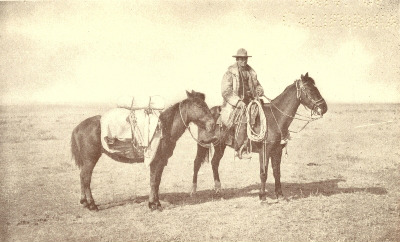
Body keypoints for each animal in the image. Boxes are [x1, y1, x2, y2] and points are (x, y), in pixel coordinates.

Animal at [70, 90, 217, 211]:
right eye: (199, 105)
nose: (213, 124)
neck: (165, 128)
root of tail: (78, 127)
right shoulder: (155, 160)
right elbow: (153, 181)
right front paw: (153, 205)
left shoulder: (161, 161)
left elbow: (157, 181)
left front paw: (156, 203)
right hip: (90, 159)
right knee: (86, 178)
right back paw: (92, 205)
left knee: (82, 177)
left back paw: (84, 202)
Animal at [193, 72, 328, 200]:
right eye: (310, 89)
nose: (324, 107)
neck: (275, 118)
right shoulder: (265, 151)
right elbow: (263, 173)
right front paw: (262, 197)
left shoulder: (277, 151)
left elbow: (277, 172)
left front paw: (280, 195)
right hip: (202, 144)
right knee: (197, 163)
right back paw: (193, 191)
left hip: (220, 146)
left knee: (214, 163)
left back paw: (218, 189)